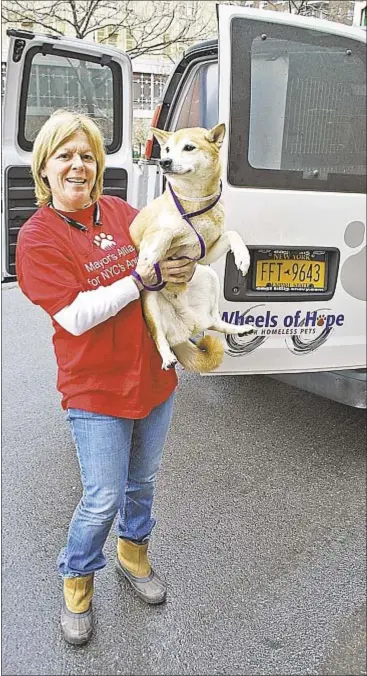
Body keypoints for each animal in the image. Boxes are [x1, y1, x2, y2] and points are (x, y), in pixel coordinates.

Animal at [129, 124, 253, 372]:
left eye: (188, 148)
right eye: (167, 149)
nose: (164, 162)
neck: (195, 205)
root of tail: (187, 326)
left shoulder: (206, 254)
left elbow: (232, 234)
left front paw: (243, 257)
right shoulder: (154, 233)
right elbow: (163, 234)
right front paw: (153, 254)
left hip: (208, 276)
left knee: (214, 322)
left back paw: (239, 328)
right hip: (150, 302)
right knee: (159, 336)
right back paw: (167, 357)